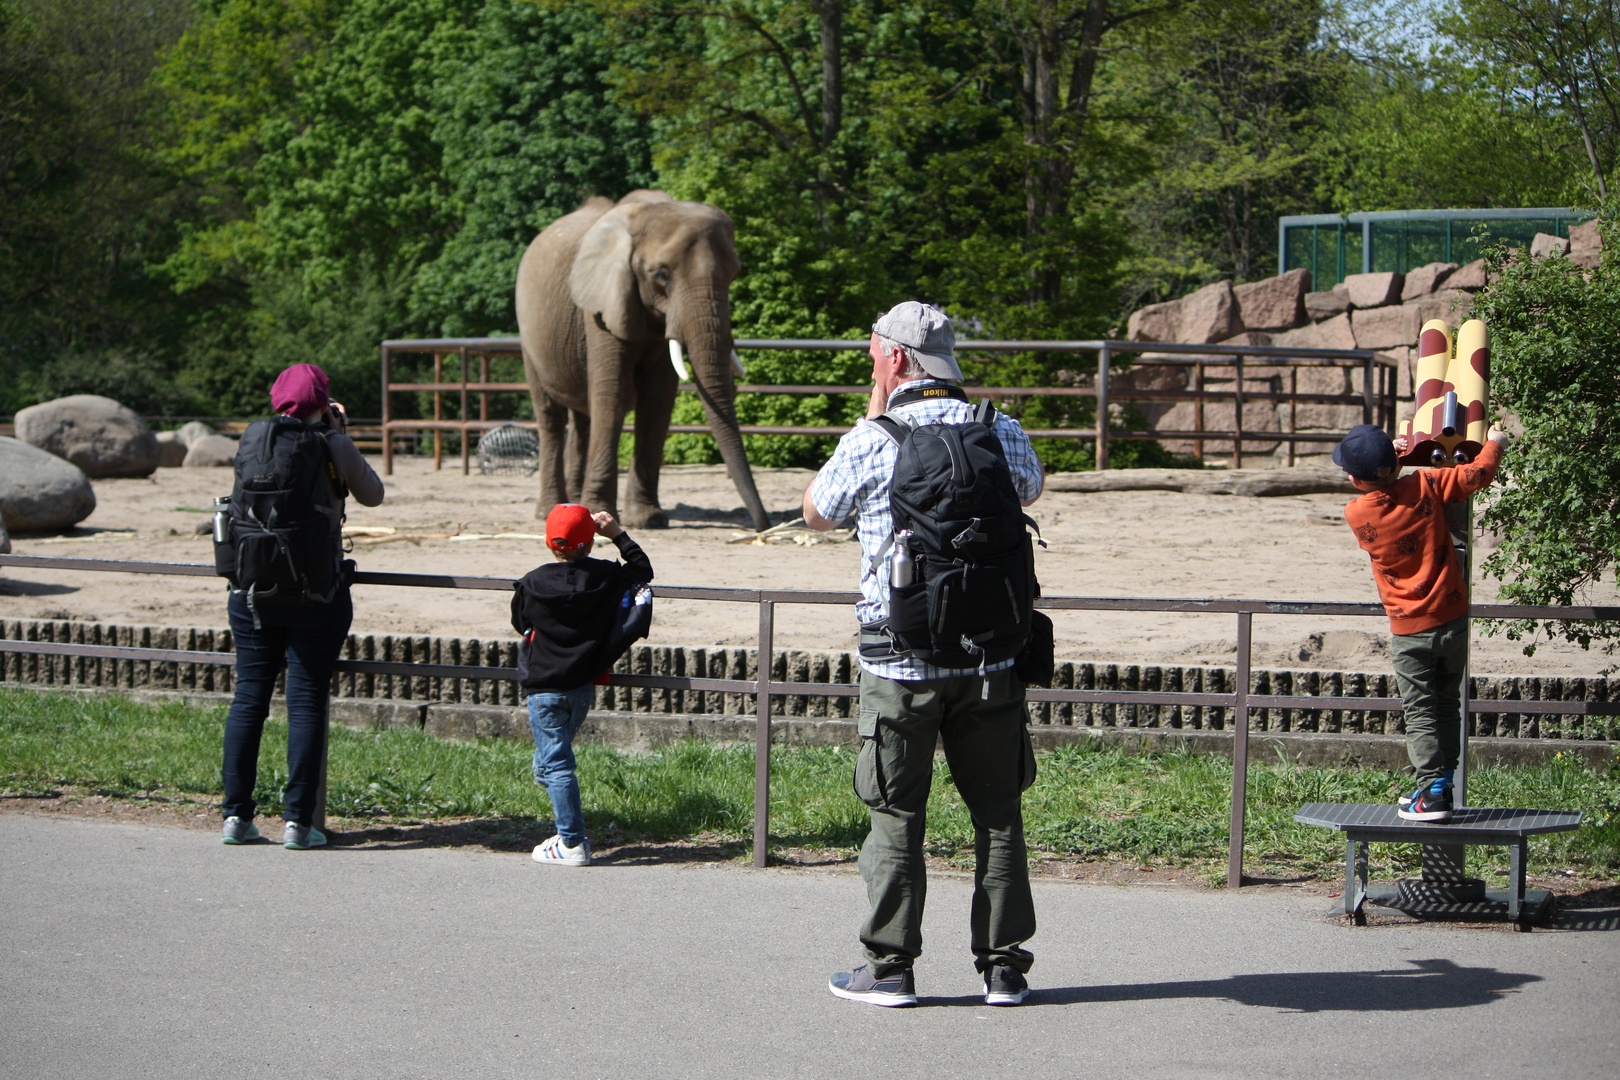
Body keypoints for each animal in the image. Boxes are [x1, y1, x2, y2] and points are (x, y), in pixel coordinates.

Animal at [518, 193, 771, 537]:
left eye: (733, 274)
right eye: (661, 274)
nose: (763, 526)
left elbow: (658, 401)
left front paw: (648, 520)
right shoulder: (601, 307)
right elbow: (612, 395)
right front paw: (602, 513)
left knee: (583, 420)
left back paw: (572, 506)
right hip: (527, 334)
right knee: (551, 418)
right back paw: (549, 510)